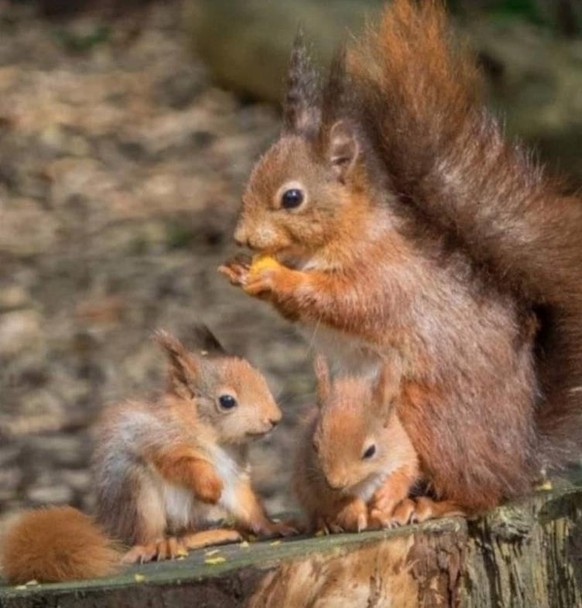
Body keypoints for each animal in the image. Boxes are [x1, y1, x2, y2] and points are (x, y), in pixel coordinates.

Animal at [0, 328, 292, 584]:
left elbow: (246, 504)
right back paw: (156, 546)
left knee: (184, 535)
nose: (275, 419)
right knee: (145, 537)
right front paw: (209, 487)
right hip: (139, 493)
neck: (218, 440)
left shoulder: (233, 473)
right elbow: (181, 464)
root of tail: (110, 526)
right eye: (227, 401)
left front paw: (272, 526)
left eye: (261, 379)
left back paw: (209, 535)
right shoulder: (159, 440)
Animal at [220, 0, 582, 512]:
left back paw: (437, 502)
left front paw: (279, 279)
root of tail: (522, 458)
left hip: (428, 415)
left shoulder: (386, 275)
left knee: (481, 491)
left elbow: (348, 301)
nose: (243, 238)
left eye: (292, 197)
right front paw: (240, 273)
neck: (348, 232)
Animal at [296, 358, 466, 536]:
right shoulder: (315, 482)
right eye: (314, 446)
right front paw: (355, 514)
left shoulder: (403, 454)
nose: (335, 483)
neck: (366, 479)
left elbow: (403, 475)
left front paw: (385, 498)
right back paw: (327, 524)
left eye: (370, 451)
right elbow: (338, 502)